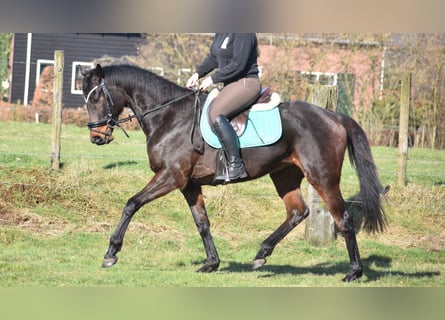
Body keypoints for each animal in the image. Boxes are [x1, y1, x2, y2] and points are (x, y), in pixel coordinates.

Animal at [82, 63, 386, 282]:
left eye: (95, 97)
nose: (97, 137)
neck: (169, 117)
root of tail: (333, 116)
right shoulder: (188, 184)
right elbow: (202, 223)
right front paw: (211, 263)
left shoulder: (170, 177)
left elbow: (131, 203)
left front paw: (111, 252)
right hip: (284, 175)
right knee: (297, 212)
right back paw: (262, 253)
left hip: (322, 177)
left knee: (342, 218)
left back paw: (353, 272)